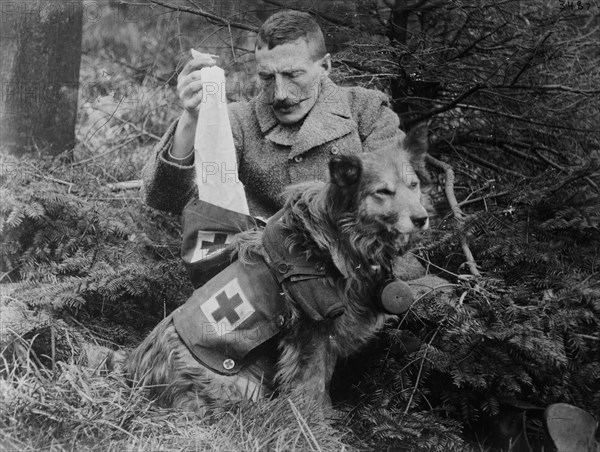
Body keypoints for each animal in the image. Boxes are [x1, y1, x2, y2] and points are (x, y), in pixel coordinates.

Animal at [124, 124, 432, 416]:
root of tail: (136, 377)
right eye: (383, 192)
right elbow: (311, 387)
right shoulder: (312, 335)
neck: (336, 239)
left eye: (413, 185)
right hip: (236, 385)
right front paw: (315, 426)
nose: (421, 218)